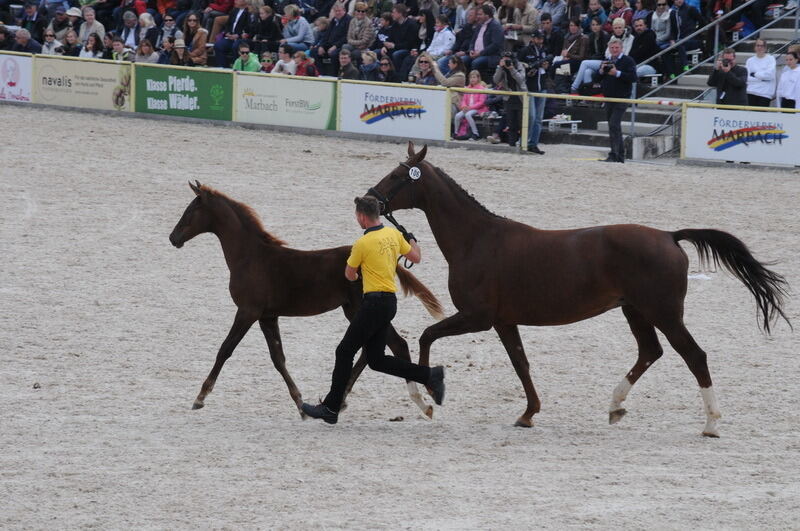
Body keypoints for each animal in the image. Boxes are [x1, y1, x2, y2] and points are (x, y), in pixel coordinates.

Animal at [169, 183, 444, 420]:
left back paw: (422, 402)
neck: (250, 257)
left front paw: (200, 397)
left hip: (360, 311)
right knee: (373, 351)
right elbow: (278, 358)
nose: (173, 238)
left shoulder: (247, 312)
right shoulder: (267, 316)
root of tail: (393, 261)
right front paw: (301, 405)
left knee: (395, 345)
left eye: (190, 211)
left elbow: (225, 349)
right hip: (355, 312)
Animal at [368, 143, 788, 438]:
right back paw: (616, 406)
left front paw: (427, 397)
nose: (365, 199)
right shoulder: (504, 322)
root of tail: (670, 236)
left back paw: (711, 424)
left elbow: (426, 336)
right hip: (635, 311)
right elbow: (521, 364)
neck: (478, 240)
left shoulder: (478, 318)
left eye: (398, 175)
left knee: (694, 356)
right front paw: (528, 414)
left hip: (664, 314)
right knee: (650, 352)